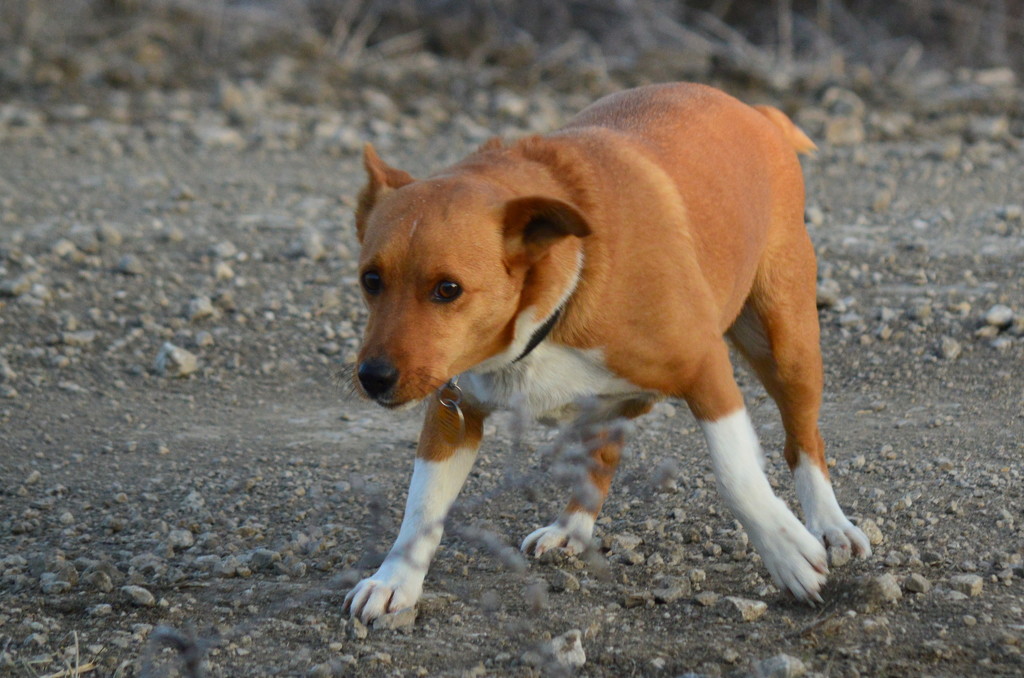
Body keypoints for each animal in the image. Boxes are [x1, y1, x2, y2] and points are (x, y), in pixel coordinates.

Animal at [344, 83, 872, 626]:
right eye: (371, 280)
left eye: (448, 289)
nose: (374, 376)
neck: (560, 294)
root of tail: (758, 114)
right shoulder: (454, 410)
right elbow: (422, 506)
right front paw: (394, 581)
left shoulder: (705, 369)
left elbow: (736, 476)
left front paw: (787, 554)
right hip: (609, 402)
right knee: (603, 455)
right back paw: (571, 528)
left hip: (786, 344)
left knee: (804, 440)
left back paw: (830, 524)